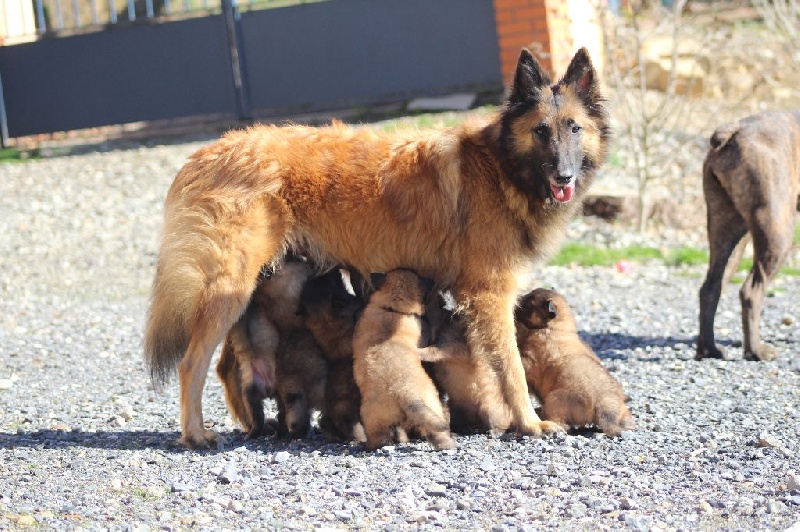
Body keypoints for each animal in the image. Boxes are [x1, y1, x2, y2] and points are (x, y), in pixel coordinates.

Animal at [352, 268, 456, 450]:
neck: (393, 308)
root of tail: (403, 392)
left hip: (374, 420)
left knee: (382, 437)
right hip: (432, 405)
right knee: (437, 431)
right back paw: (449, 444)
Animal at [516, 290, 636, 436]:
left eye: (529, 302)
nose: (516, 301)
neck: (556, 329)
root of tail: (603, 406)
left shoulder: (531, 358)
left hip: (554, 399)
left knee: (562, 423)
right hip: (622, 410)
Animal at [692, 111, 800, 362]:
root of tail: (734, 130)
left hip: (727, 228)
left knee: (711, 287)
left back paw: (709, 349)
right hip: (777, 232)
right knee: (751, 290)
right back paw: (756, 351)